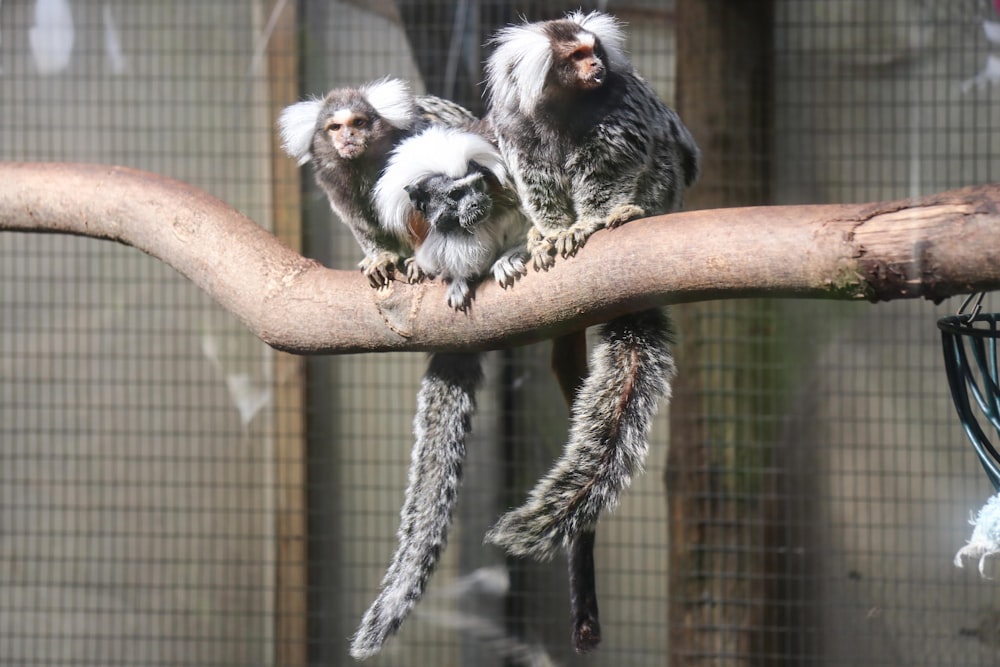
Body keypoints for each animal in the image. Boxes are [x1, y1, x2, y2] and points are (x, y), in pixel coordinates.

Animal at [350, 124, 528, 656]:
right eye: (453, 195)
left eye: (475, 185)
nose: (475, 204)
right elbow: (437, 258)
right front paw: (448, 279)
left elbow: (522, 236)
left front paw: (508, 260)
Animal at [480, 10, 700, 568]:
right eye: (576, 56)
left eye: (593, 51)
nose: (597, 66)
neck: (561, 110)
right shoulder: (516, 127)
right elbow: (536, 180)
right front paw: (550, 233)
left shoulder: (618, 109)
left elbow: (612, 166)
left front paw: (595, 220)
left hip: (667, 191)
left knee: (662, 153)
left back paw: (632, 213)